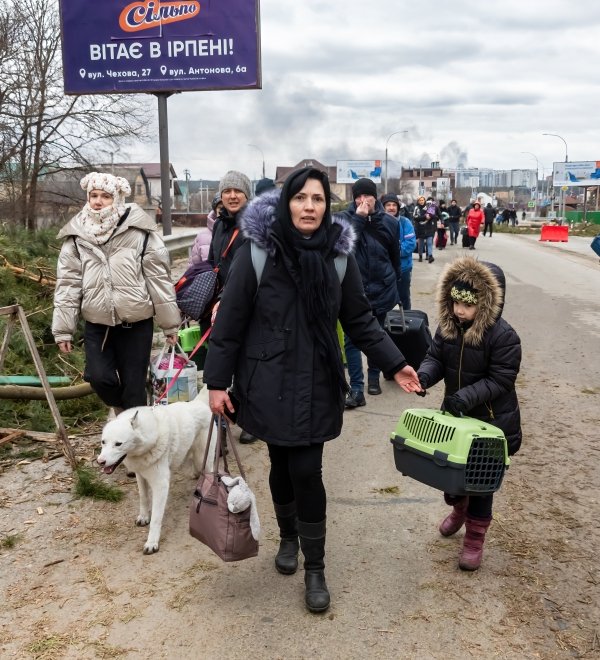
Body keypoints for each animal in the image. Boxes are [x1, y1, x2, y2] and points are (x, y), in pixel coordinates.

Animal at [96, 392, 213, 552]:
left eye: (118, 444)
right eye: (103, 442)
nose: (100, 462)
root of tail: (198, 402)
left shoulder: (160, 485)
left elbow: (156, 518)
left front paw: (152, 542)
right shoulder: (140, 476)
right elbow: (144, 498)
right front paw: (144, 517)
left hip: (203, 459)